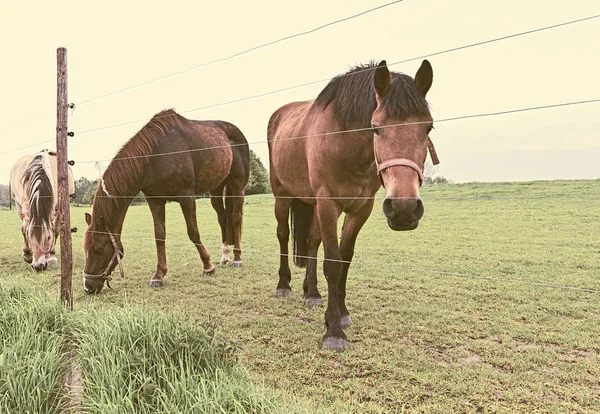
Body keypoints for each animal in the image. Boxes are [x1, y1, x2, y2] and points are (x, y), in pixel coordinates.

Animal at [82, 108, 248, 292]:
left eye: (98, 249)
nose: (88, 286)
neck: (155, 155)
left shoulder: (187, 197)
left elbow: (193, 232)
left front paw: (208, 266)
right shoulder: (155, 201)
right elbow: (159, 236)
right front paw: (159, 275)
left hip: (237, 185)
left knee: (235, 218)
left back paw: (237, 258)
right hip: (217, 190)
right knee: (223, 218)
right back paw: (225, 256)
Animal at [270, 59, 438, 350]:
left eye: (428, 128)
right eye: (376, 127)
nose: (404, 209)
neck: (344, 144)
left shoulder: (361, 208)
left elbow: (345, 259)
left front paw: (342, 313)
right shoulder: (328, 205)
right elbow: (333, 264)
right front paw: (334, 331)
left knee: (312, 241)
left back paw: (312, 293)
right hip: (282, 196)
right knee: (283, 235)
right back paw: (284, 286)